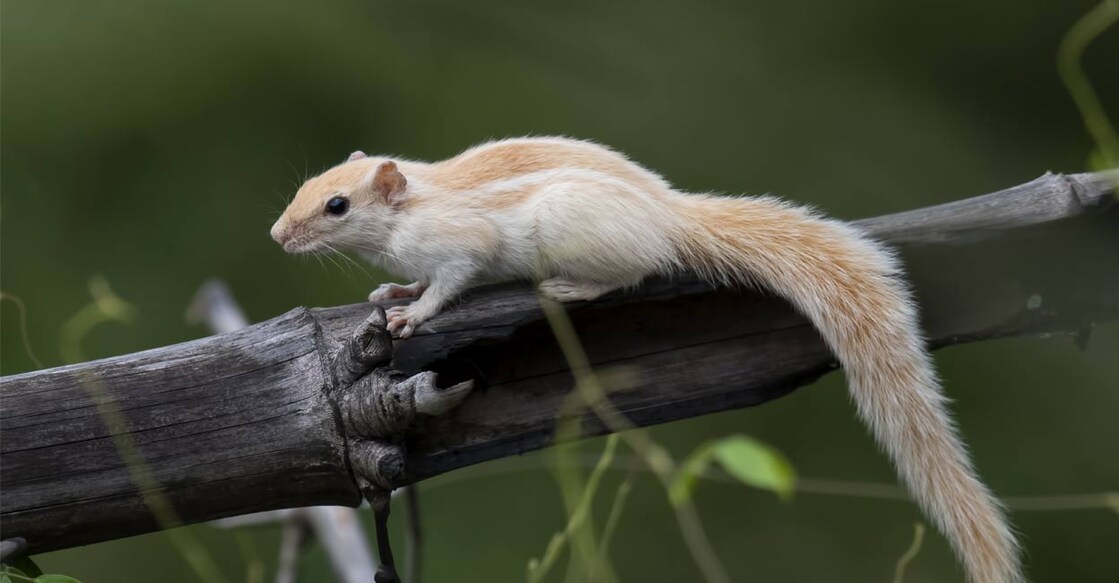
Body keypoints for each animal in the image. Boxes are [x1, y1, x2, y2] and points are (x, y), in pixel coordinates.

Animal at [271, 136, 1021, 583]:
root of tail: (672, 217)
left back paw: (569, 286)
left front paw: (411, 310)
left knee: (634, 271)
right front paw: (391, 291)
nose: (278, 234)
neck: (417, 206)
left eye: (336, 204)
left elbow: (447, 286)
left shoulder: (461, 247)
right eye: (307, 183)